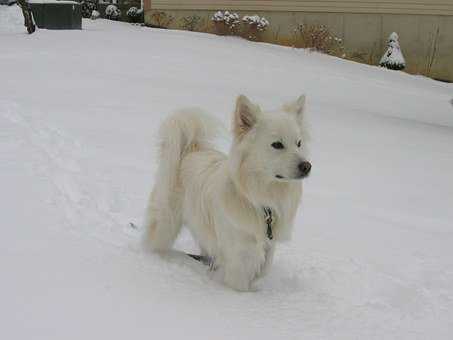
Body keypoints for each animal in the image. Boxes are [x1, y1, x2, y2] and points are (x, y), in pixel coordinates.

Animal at [142, 94, 310, 290]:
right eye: (277, 145)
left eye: (299, 143)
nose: (307, 166)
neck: (260, 200)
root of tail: (190, 150)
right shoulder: (240, 258)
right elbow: (241, 285)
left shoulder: (268, 247)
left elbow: (263, 271)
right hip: (165, 224)